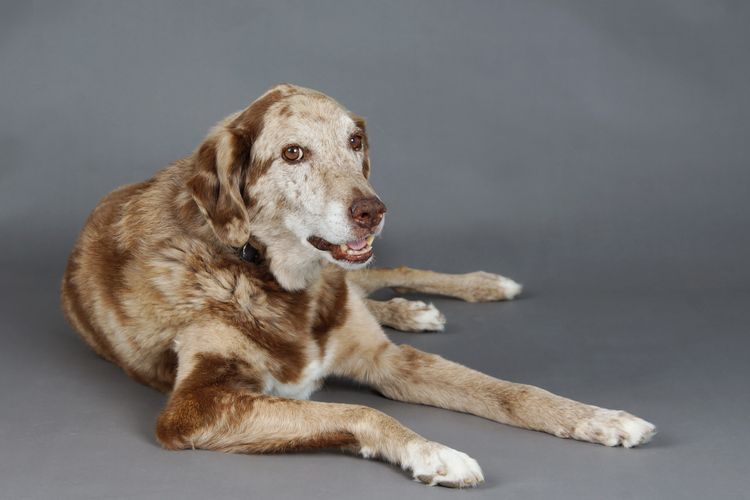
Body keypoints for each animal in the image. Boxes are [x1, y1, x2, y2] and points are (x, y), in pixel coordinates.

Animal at [60, 84, 656, 486]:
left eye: (354, 141)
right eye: (293, 152)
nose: (373, 211)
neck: (282, 282)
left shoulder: (389, 360)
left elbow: (512, 392)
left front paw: (597, 418)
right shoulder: (195, 407)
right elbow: (360, 411)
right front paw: (433, 452)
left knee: (384, 277)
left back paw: (468, 290)